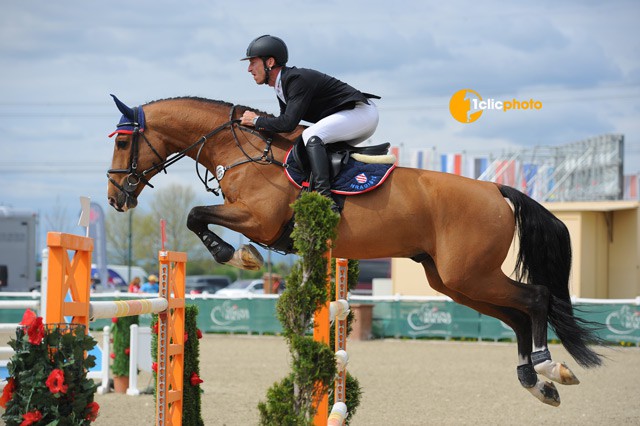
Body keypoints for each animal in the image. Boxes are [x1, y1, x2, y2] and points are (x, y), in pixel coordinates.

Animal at [107, 95, 604, 406]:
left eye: (123, 141)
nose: (115, 198)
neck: (240, 146)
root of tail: (496, 189)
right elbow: (197, 215)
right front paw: (238, 254)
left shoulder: (258, 219)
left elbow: (195, 215)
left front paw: (237, 255)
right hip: (451, 281)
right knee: (517, 315)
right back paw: (537, 384)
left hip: (470, 274)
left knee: (535, 298)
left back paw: (549, 368)